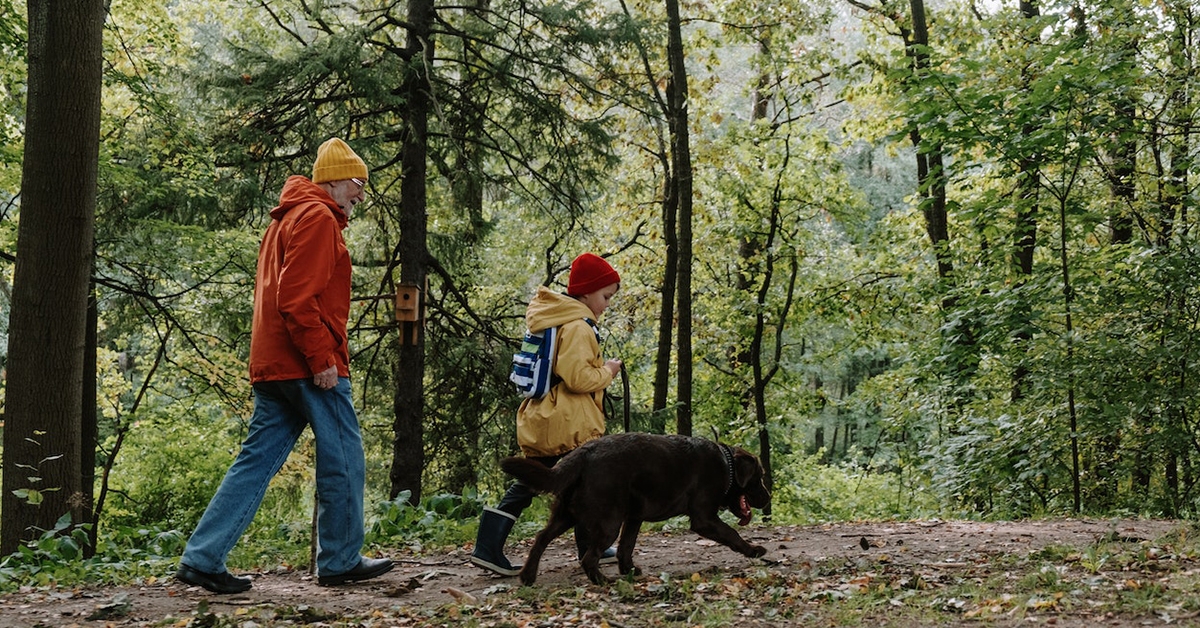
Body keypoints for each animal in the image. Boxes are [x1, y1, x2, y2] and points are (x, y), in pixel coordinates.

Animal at [499, 432, 768, 585]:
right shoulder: (704, 517)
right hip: (608, 522)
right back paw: (602, 581)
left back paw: (528, 576)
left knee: (541, 537)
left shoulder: (634, 518)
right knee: (588, 557)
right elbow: (732, 533)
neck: (727, 464)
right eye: (759, 477)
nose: (768, 499)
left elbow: (627, 546)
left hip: (567, 514)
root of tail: (583, 453)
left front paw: (628, 569)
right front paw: (753, 550)